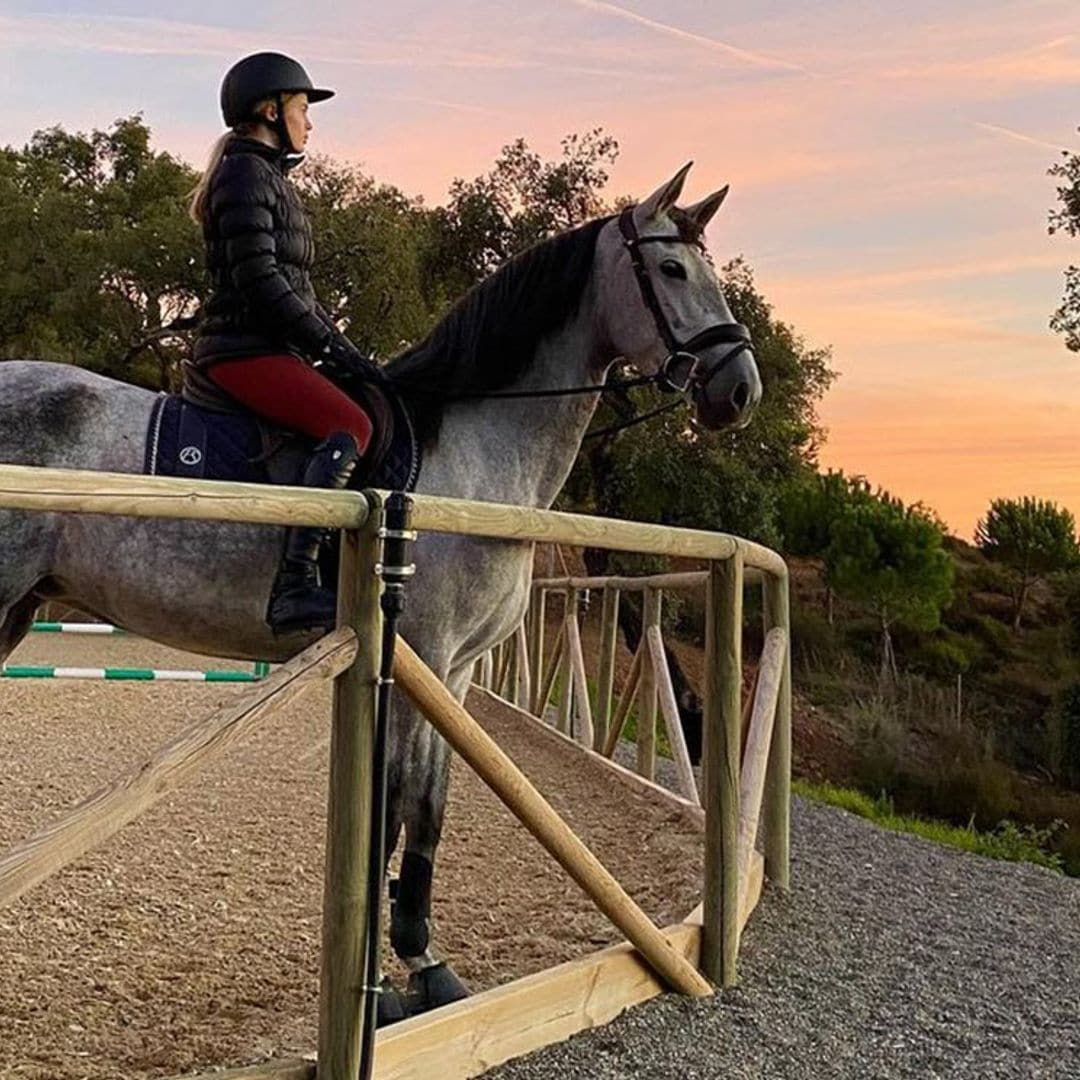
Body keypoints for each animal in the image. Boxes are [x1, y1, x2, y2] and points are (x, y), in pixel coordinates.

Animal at [0, 163, 761, 1014]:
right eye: (670, 269)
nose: (739, 389)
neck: (466, 455)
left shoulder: (454, 673)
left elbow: (429, 807)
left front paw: (426, 961)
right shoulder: (411, 655)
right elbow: (392, 805)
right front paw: (379, 972)